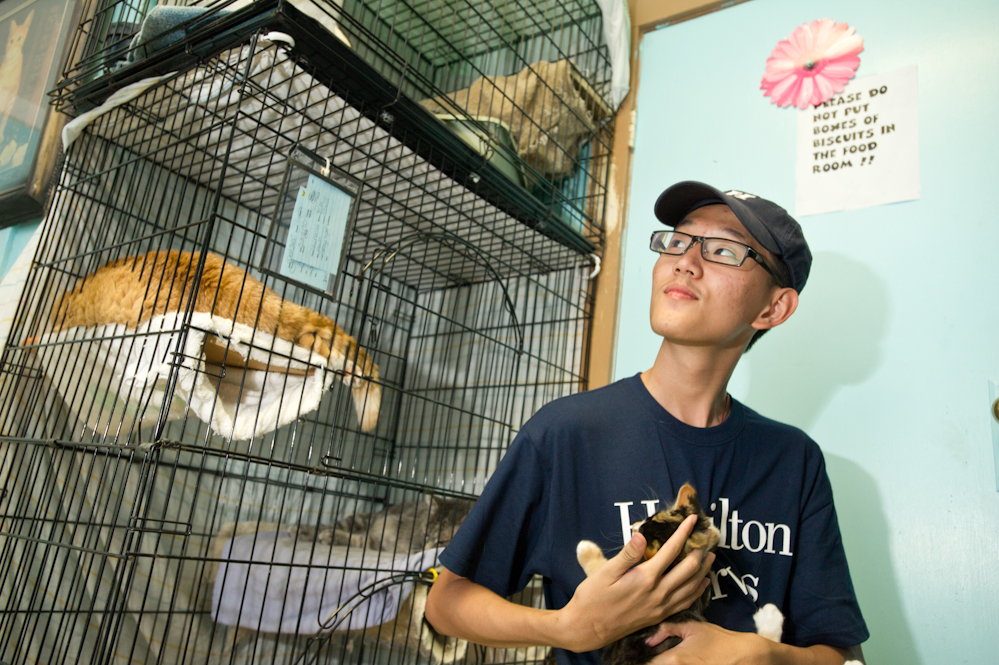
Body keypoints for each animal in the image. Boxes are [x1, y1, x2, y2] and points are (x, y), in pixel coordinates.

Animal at [576, 482, 724, 664]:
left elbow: (599, 571)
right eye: (650, 518)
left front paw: (585, 550)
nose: (633, 527)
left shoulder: (619, 632)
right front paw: (712, 532)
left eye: (642, 536)